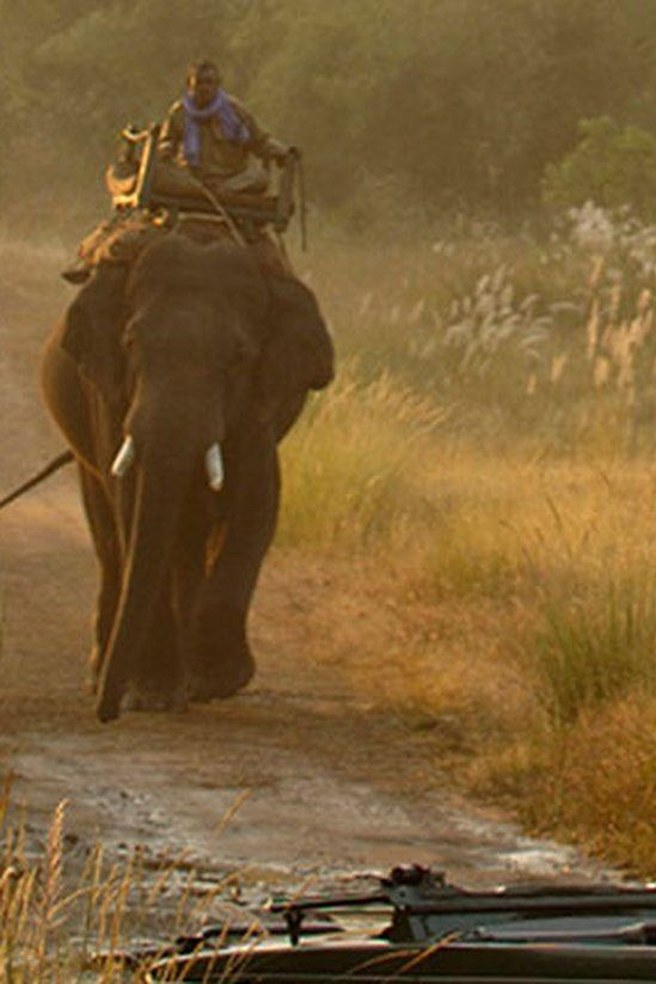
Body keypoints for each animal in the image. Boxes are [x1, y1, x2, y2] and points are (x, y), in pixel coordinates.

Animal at [41, 231, 334, 723]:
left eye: (239, 357)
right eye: (131, 342)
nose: (106, 714)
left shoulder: (261, 401)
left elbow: (258, 500)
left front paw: (217, 680)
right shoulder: (109, 392)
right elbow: (132, 502)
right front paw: (153, 697)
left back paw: (188, 682)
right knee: (110, 539)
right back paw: (106, 675)